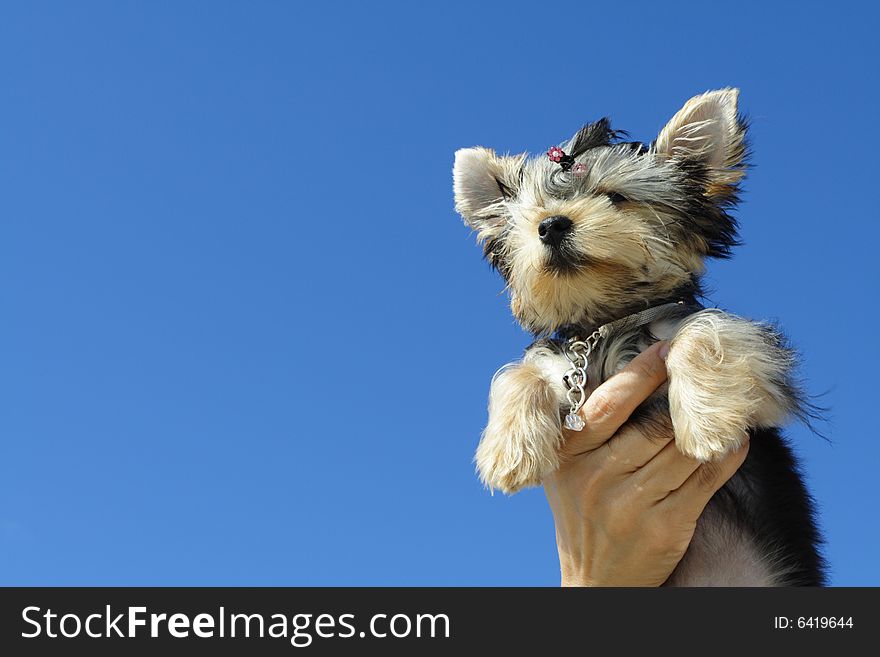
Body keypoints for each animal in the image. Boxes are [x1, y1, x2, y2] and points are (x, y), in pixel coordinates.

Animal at [454, 89, 824, 588]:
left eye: (615, 198)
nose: (551, 224)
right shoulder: (564, 361)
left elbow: (701, 330)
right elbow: (520, 372)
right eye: (532, 217)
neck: (610, 322)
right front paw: (508, 450)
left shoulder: (763, 380)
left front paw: (708, 426)